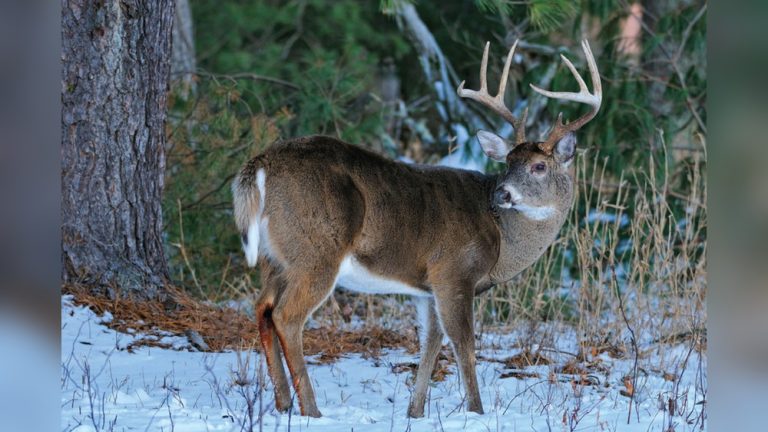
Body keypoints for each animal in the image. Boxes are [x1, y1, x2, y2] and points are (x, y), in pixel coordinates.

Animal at [232, 39, 601, 418]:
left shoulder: (427, 287)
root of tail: (261, 164)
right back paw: (311, 410)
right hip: (317, 250)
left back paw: (283, 403)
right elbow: (464, 344)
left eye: (539, 166)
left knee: (262, 308)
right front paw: (476, 411)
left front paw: (415, 411)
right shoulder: (454, 271)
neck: (501, 238)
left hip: (275, 256)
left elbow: (431, 344)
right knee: (286, 316)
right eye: (508, 163)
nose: (503, 192)